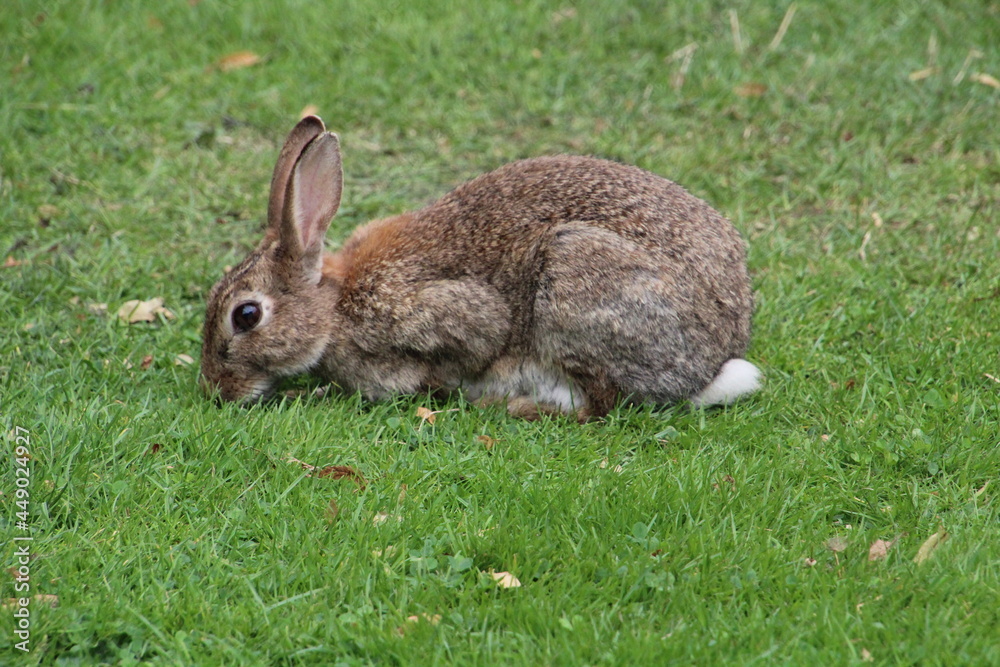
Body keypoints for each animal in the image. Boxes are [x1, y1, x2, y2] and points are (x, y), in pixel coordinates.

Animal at [199, 114, 760, 418]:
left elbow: (481, 335)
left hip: (576, 279)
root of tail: (715, 358)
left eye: (246, 316)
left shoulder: (434, 312)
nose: (216, 390)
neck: (333, 307)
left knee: (603, 404)